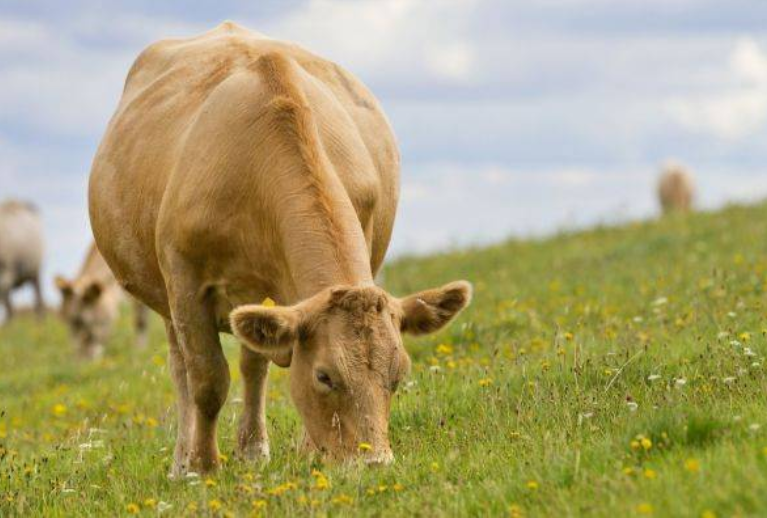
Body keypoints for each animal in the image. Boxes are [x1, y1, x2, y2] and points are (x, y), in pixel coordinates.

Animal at [90, 24, 474, 480]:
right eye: (324, 376)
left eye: (398, 374)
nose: (374, 462)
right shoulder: (184, 281)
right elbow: (207, 380)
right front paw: (203, 466)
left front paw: (308, 450)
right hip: (164, 296)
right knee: (180, 367)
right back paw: (182, 462)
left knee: (252, 366)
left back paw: (253, 449)